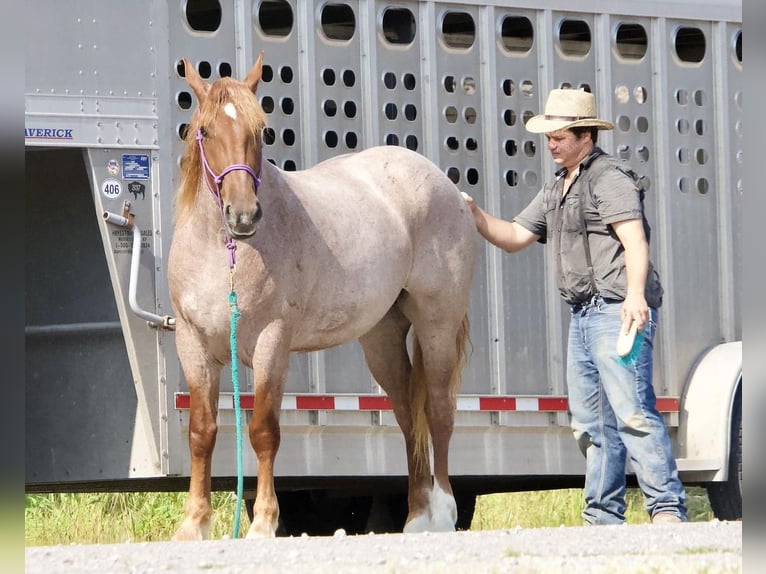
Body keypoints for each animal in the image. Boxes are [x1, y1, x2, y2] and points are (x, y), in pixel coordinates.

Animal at [170, 51, 476, 544]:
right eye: (206, 131)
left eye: (260, 131)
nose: (243, 215)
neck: (225, 254)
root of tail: (446, 186)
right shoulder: (192, 344)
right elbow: (202, 431)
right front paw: (193, 524)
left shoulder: (272, 343)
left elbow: (264, 430)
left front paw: (263, 522)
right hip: (382, 338)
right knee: (408, 417)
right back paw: (415, 517)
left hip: (438, 324)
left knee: (439, 412)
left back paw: (442, 514)